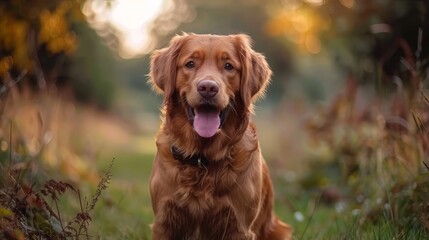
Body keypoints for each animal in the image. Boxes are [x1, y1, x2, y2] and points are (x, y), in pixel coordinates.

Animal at [147, 32, 290, 240]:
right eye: (190, 64)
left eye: (228, 66)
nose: (208, 88)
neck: (202, 158)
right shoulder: (164, 223)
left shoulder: (239, 227)